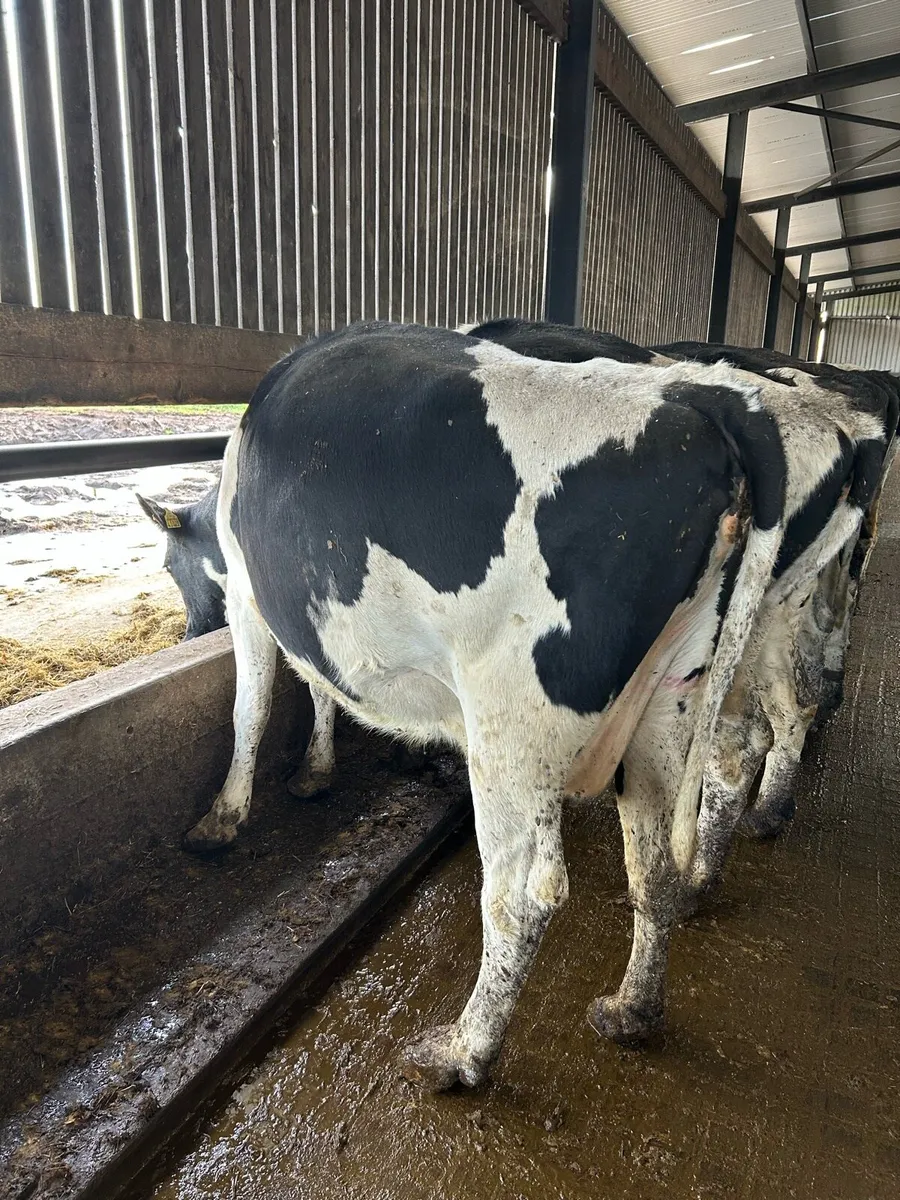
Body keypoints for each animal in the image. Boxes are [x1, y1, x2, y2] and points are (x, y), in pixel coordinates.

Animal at [173, 317, 893, 1089]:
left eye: (175, 568)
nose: (185, 631)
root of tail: (714, 410)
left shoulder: (247, 598)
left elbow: (256, 705)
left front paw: (230, 814)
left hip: (514, 718)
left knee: (525, 894)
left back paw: (463, 1052)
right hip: (691, 681)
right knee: (683, 824)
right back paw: (637, 997)